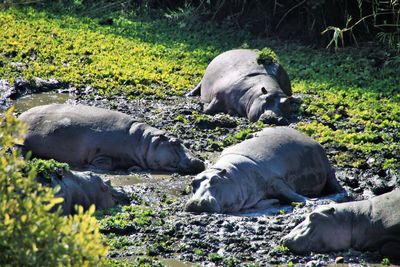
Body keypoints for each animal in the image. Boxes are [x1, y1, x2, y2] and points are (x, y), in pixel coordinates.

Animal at [19, 103, 205, 175]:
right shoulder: (101, 153)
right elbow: (105, 163)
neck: (143, 142)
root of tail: (19, 116)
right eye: (174, 142)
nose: (199, 161)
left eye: (182, 140)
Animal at [184, 126, 344, 215]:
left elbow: (289, 191)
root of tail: (310, 138)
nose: (196, 202)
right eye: (193, 183)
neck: (232, 175)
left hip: (328, 169)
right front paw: (273, 201)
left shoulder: (274, 180)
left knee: (334, 182)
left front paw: (310, 201)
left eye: (215, 180)